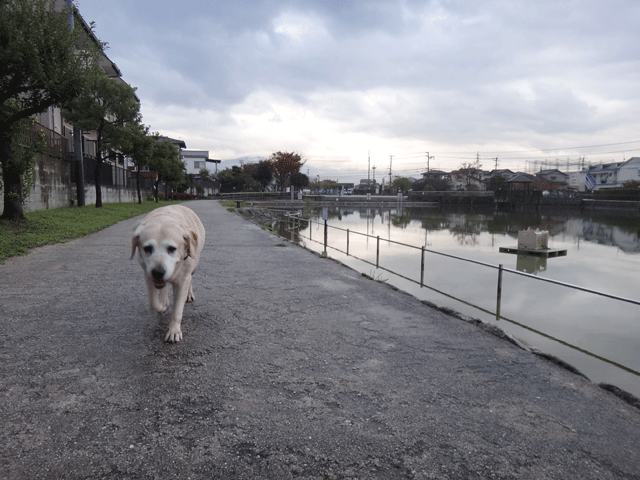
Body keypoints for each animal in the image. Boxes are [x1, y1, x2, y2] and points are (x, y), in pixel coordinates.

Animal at [131, 204, 206, 344]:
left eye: (172, 249)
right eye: (147, 248)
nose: (158, 272)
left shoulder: (183, 280)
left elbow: (177, 310)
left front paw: (174, 331)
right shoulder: (148, 274)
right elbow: (153, 303)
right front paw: (162, 306)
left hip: (195, 263)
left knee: (191, 279)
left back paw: (189, 294)